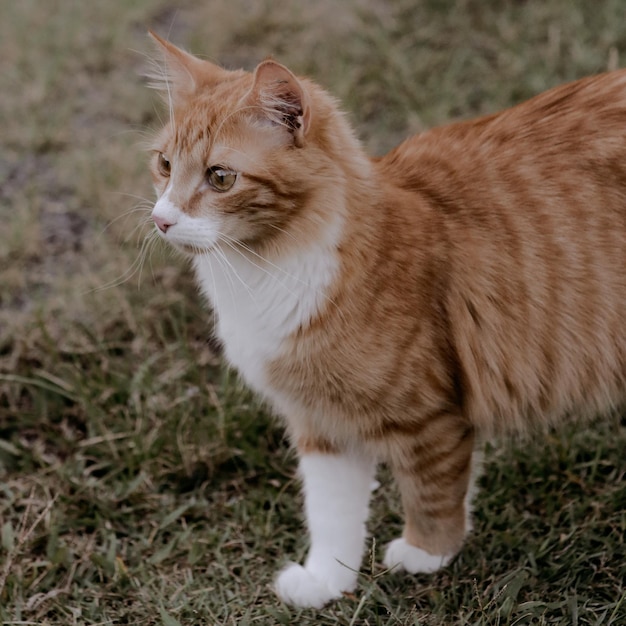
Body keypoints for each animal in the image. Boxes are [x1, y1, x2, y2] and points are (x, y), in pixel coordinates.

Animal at [146, 31, 624, 608]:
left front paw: (426, 554)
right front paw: (327, 581)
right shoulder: (321, 423)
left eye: (220, 177)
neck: (266, 271)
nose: (161, 219)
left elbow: (431, 491)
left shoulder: (429, 416)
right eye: (165, 165)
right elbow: (331, 513)